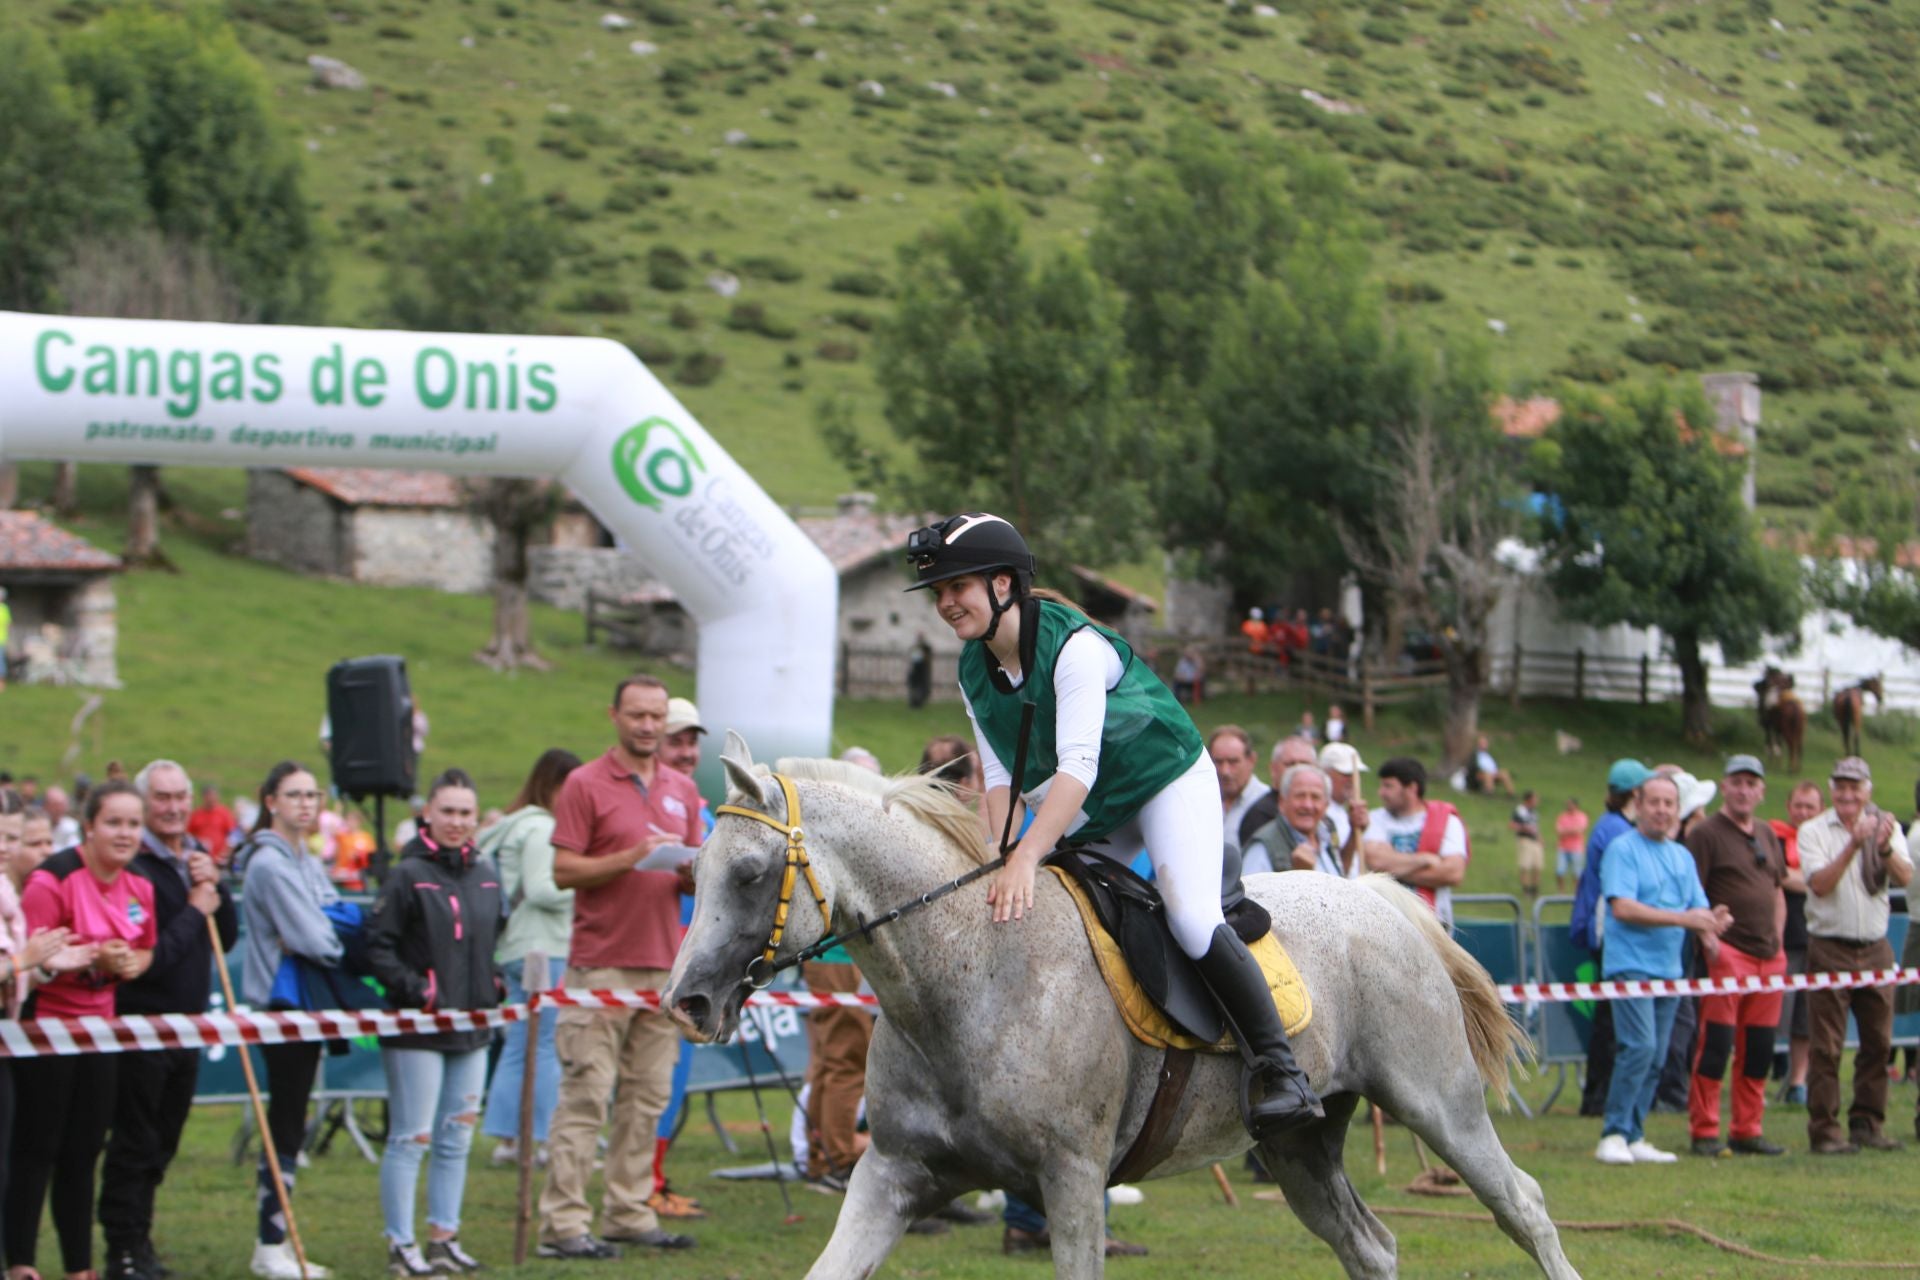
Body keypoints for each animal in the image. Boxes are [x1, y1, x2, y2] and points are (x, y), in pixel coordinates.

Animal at [668, 740, 1582, 1280]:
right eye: (692, 873)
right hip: (1299, 1146)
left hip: (1439, 1105)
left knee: (1526, 1207)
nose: (687, 1001)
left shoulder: (1071, 1181)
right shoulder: (891, 1175)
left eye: (748, 874)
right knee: (1371, 1246)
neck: (965, 975)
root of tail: (1379, 898)